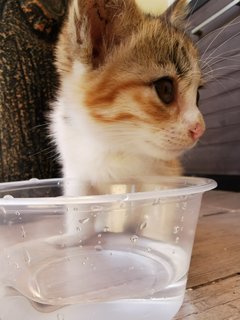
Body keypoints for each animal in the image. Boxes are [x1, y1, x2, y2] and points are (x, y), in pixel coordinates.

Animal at [50, 0, 204, 195]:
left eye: (197, 94)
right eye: (165, 89)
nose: (200, 129)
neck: (115, 146)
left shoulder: (165, 174)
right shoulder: (75, 176)